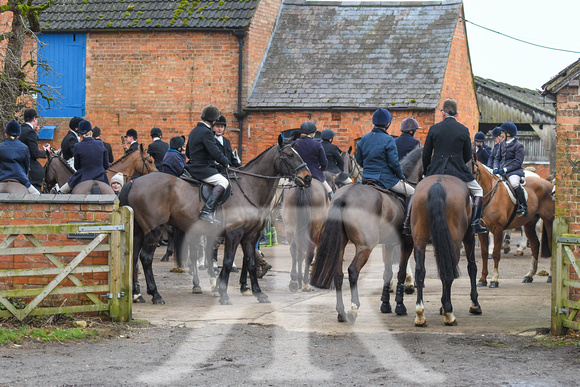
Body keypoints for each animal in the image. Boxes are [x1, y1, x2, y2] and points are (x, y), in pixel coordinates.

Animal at [116, 136, 308, 306]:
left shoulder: (250, 236)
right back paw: (155, 294)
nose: (307, 177)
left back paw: (137, 294)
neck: (248, 188)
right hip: (154, 230)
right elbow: (228, 262)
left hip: (138, 231)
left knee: (134, 258)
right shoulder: (234, 233)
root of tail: (133, 182)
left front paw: (258, 293)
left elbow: (251, 262)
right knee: (146, 258)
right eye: (289, 155)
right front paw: (223, 294)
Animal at [404, 177, 480, 328]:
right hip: (455, 241)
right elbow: (472, 267)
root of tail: (438, 183)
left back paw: (420, 314)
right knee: (448, 272)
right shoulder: (469, 236)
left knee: (420, 271)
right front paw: (474, 304)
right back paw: (449, 314)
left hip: (420, 239)